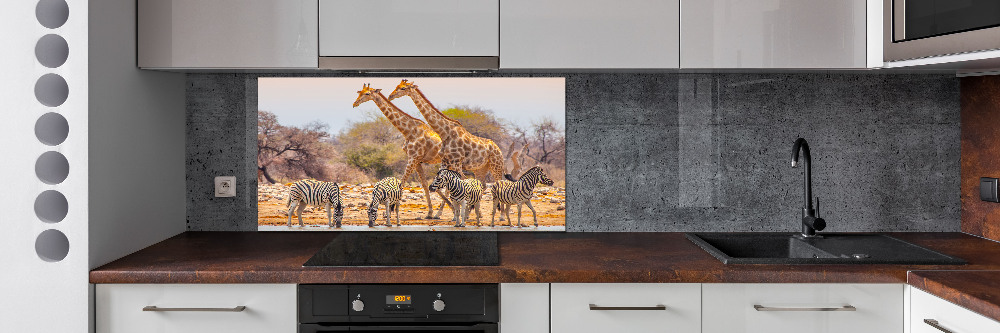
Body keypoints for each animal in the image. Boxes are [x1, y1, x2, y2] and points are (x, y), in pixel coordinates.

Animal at [352, 83, 454, 219]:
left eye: (367, 93)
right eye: (359, 92)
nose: (355, 103)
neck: (408, 131)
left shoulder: (413, 158)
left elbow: (402, 182)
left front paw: (390, 210)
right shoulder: (417, 161)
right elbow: (424, 185)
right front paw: (429, 212)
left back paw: (444, 212)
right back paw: (442, 212)